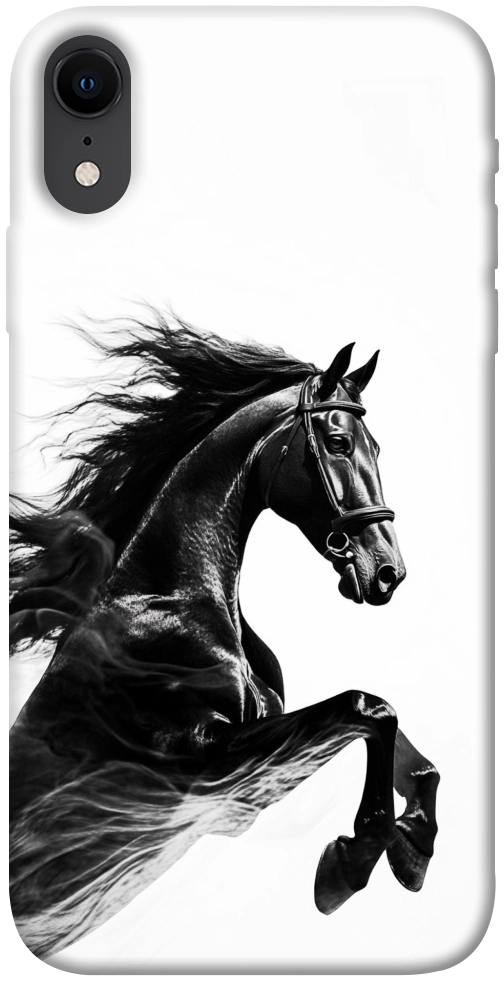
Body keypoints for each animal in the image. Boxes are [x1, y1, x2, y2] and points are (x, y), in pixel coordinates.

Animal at [9, 316, 439, 959]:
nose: (388, 571)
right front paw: (349, 865)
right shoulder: (205, 764)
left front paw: (414, 848)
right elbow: (369, 708)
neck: (170, 602)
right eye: (338, 443)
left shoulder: (244, 785)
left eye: (379, 448)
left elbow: (399, 741)